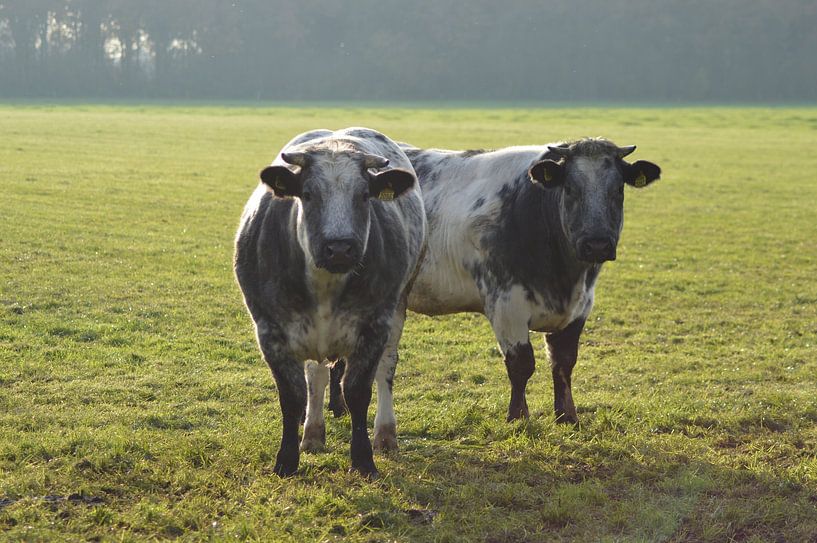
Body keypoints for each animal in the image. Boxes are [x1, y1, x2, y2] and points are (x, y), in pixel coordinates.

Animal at [234, 127, 426, 478]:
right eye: (308, 194)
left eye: (364, 195)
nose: (339, 248)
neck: (325, 283)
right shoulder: (269, 330)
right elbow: (293, 395)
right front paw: (287, 459)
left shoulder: (375, 325)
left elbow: (358, 391)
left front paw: (363, 459)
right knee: (316, 377)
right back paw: (312, 433)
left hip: (398, 307)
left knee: (384, 369)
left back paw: (384, 434)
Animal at [328, 137, 661, 433]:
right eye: (571, 189)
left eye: (617, 190)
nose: (596, 244)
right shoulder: (506, 304)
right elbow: (521, 364)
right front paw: (518, 418)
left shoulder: (580, 309)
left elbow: (563, 364)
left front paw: (567, 416)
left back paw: (339, 408)